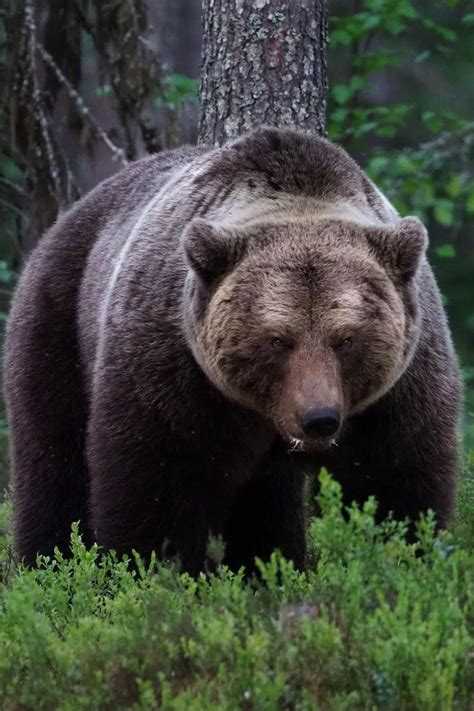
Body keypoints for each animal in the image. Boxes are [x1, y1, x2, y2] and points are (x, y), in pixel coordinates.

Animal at [4, 128, 462, 572]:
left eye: (346, 339)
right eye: (278, 339)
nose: (319, 419)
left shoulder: (397, 389)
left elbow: (397, 482)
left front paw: (401, 554)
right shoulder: (174, 367)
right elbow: (156, 483)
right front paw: (151, 570)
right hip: (58, 318)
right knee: (53, 457)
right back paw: (49, 562)